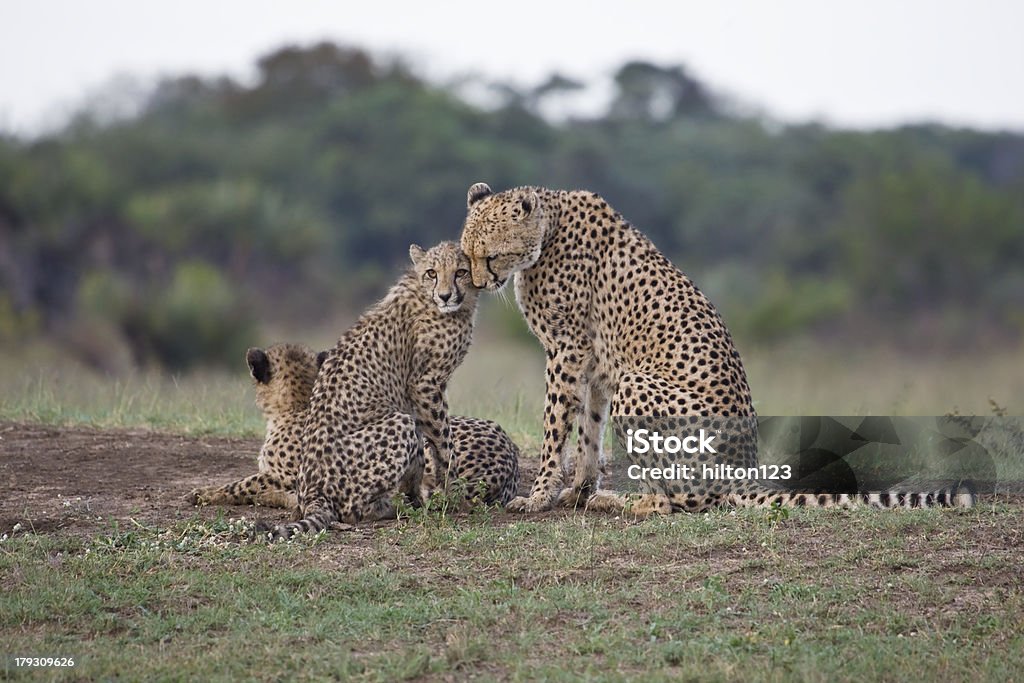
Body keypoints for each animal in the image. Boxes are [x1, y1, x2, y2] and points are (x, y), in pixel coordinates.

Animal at [460, 184, 970, 516]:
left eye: (491, 255)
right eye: (466, 255)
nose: (478, 285)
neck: (548, 227)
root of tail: (741, 470)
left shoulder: (567, 351)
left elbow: (556, 428)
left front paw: (539, 495)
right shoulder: (595, 361)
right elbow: (589, 429)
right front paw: (578, 490)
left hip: (639, 386)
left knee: (688, 501)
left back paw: (634, 502)